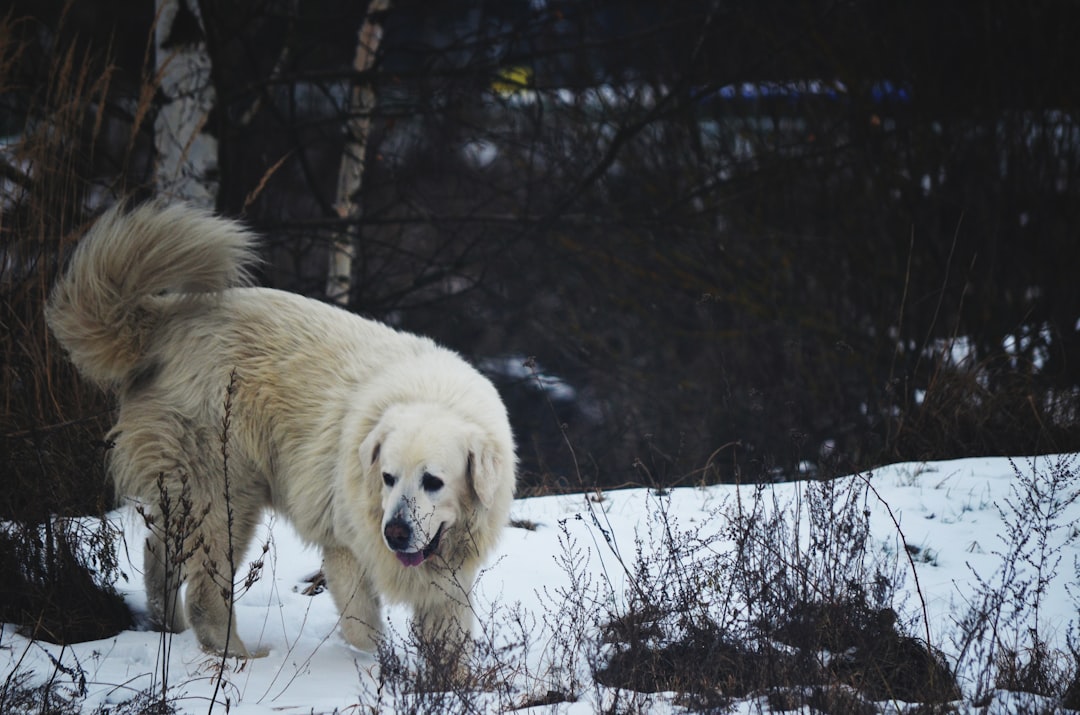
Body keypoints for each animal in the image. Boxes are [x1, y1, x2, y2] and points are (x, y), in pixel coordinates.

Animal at [49, 201, 518, 660]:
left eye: (433, 481)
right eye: (387, 477)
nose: (395, 533)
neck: (433, 395)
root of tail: (166, 320)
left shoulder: (450, 572)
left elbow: (448, 637)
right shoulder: (344, 541)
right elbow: (363, 625)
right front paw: (376, 666)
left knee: (158, 551)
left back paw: (170, 629)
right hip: (221, 485)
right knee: (205, 586)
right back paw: (237, 655)